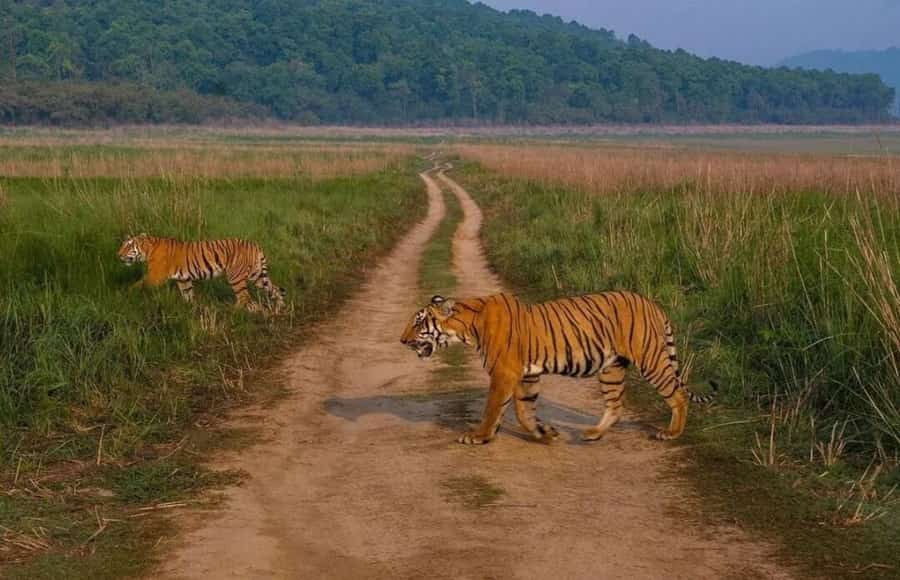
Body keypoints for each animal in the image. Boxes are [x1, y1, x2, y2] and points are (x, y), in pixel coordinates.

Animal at [116, 232, 284, 312]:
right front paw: (193, 309)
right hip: (257, 276)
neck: (148, 250)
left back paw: (231, 311)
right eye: (122, 245)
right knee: (276, 289)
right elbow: (188, 295)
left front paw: (124, 295)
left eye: (128, 246)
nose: (118, 255)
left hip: (235, 276)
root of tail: (255, 245)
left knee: (244, 297)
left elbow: (137, 285)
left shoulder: (155, 276)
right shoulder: (183, 279)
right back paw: (279, 309)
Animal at [402, 292, 716, 446]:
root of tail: (652, 303)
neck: (467, 328)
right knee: (616, 404)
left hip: (650, 359)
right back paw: (593, 434)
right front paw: (546, 433)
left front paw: (478, 437)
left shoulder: (504, 373)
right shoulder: (527, 375)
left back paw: (671, 433)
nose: (402, 340)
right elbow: (524, 411)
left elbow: (494, 408)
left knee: (678, 394)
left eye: (418, 322)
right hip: (611, 368)